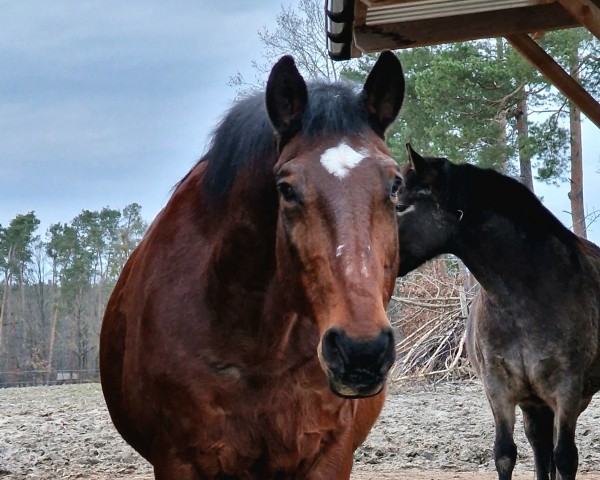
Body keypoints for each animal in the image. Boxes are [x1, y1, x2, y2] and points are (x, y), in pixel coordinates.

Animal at [101, 50, 406, 478]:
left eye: (395, 184)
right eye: (286, 190)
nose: (361, 351)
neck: (261, 349)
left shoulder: (330, 454)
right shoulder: (178, 461)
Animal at [394, 143, 600, 480]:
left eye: (400, 206)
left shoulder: (567, 390)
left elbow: (566, 458)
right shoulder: (499, 389)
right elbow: (505, 454)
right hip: (534, 404)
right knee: (540, 447)